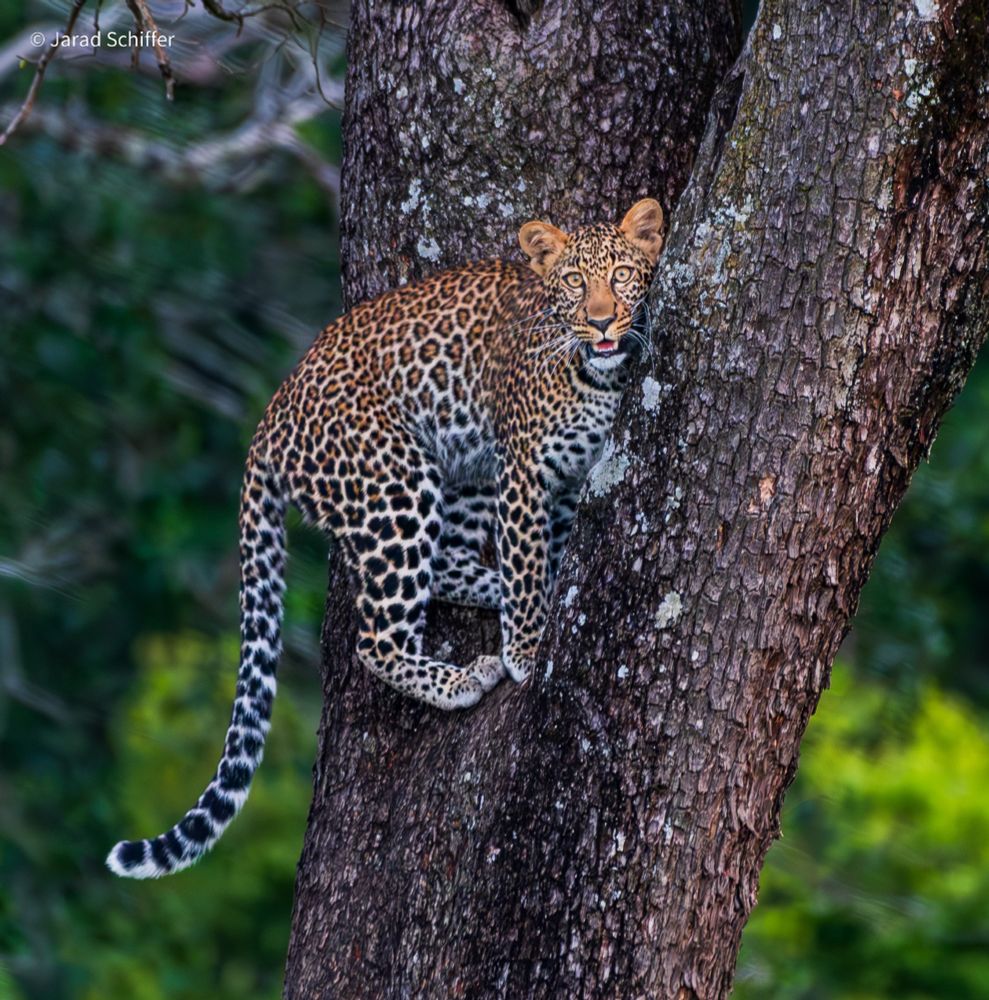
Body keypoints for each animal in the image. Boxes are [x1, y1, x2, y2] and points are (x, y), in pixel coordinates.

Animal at [106, 198, 664, 879]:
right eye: (575, 284)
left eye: (622, 275)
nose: (602, 320)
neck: (598, 377)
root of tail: (271, 415)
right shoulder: (526, 474)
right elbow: (527, 566)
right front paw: (528, 655)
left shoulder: (557, 485)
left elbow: (536, 559)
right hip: (399, 483)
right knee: (377, 638)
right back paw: (463, 678)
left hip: (462, 468)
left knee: (451, 565)